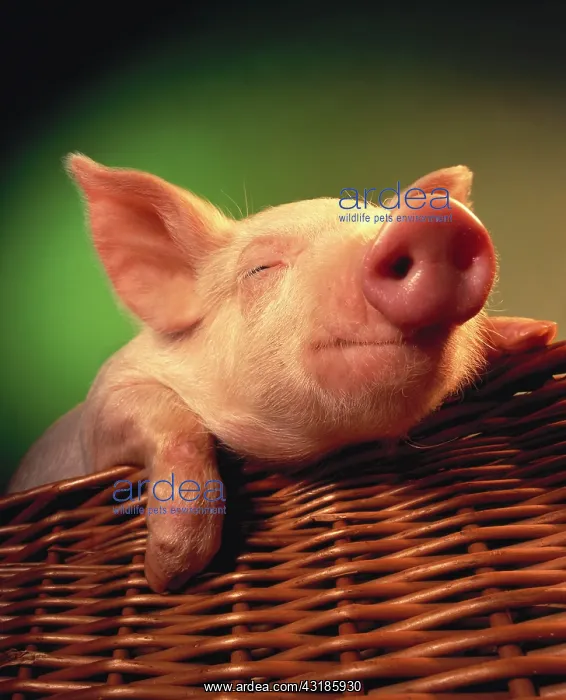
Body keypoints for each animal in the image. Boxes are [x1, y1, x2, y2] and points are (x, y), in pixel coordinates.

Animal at [7, 155, 557, 593]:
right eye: (260, 269)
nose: (429, 220)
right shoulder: (103, 406)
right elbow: (175, 423)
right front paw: (168, 572)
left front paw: (538, 333)